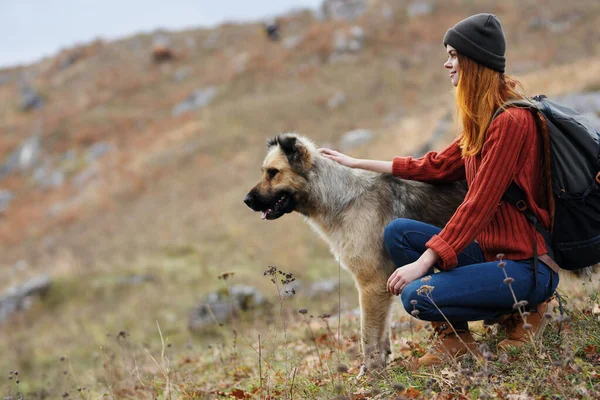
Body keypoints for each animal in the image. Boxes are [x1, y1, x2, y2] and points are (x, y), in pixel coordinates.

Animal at [241, 133, 466, 374]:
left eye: (273, 172)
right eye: (265, 171)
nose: (246, 201)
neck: (341, 199)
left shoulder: (371, 284)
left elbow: (368, 336)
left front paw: (372, 372)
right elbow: (381, 335)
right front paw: (380, 366)